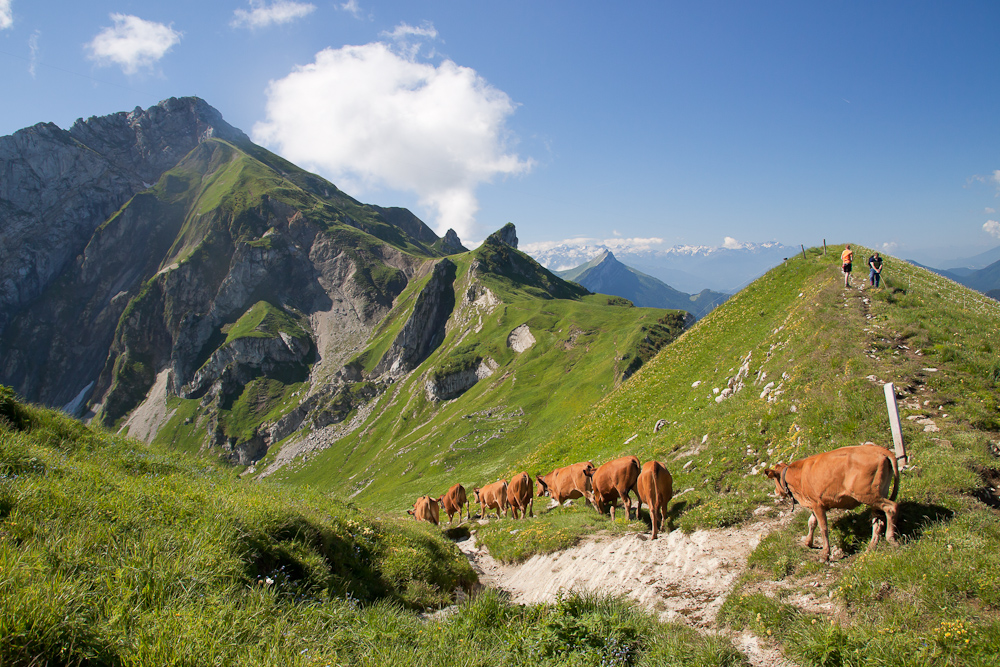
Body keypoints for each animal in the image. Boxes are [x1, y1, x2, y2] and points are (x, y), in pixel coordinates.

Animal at [760, 444, 904, 564]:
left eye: (774, 479)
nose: (776, 491)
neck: (797, 476)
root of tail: (880, 449)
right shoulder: (814, 503)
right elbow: (811, 522)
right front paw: (808, 542)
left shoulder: (817, 504)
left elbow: (823, 527)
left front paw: (825, 555)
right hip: (877, 494)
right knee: (877, 519)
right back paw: (871, 547)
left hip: (867, 494)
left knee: (892, 508)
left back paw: (891, 539)